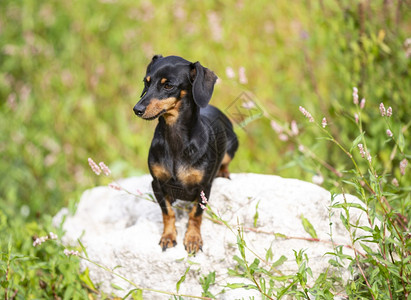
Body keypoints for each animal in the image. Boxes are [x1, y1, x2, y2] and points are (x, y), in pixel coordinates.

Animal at [134, 54, 240, 253]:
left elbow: (195, 214)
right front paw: (168, 236)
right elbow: (167, 212)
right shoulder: (156, 184)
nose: (137, 109)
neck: (175, 139)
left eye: (168, 86)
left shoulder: (203, 188)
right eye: (146, 82)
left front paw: (193, 238)